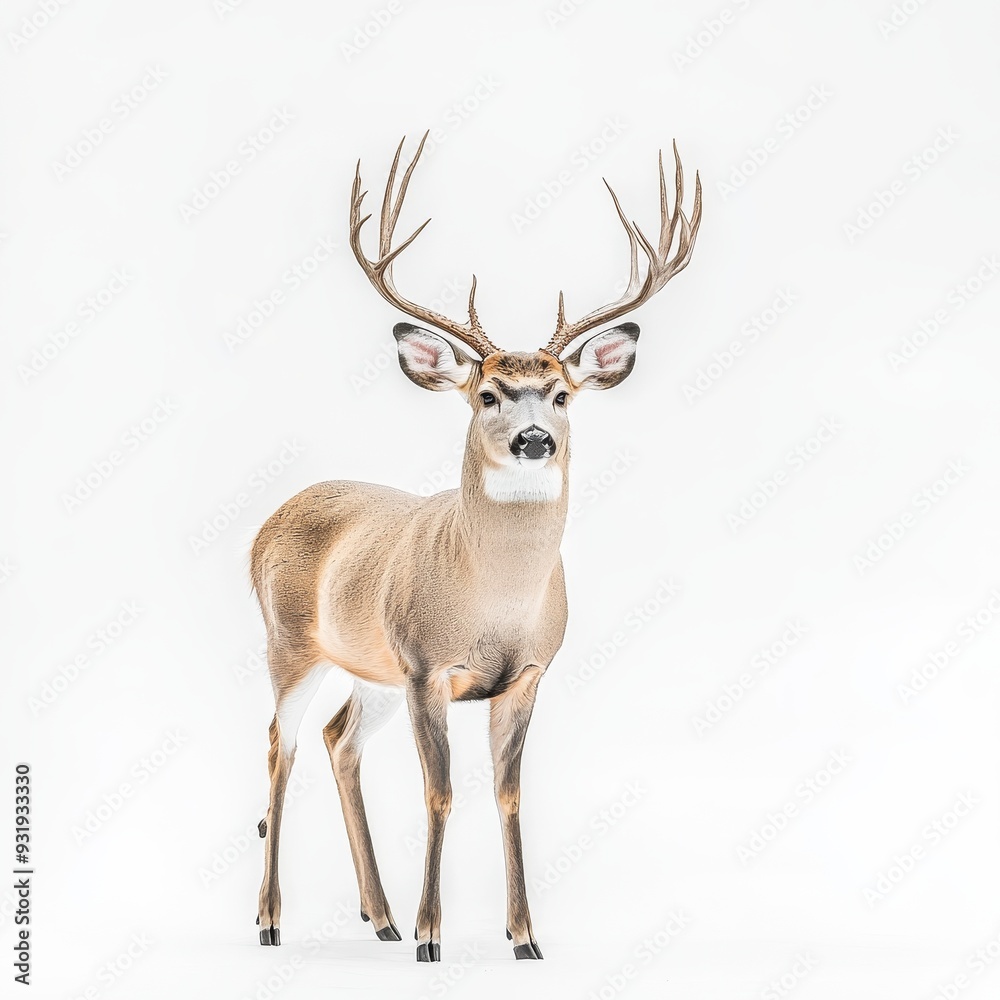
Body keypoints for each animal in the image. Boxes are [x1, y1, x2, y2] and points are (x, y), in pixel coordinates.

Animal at [251, 132, 701, 962]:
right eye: (487, 394)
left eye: (561, 393)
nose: (534, 439)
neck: (494, 600)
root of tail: (271, 519)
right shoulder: (428, 668)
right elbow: (440, 791)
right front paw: (434, 935)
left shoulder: (525, 675)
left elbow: (509, 793)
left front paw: (524, 937)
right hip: (290, 641)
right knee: (280, 743)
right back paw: (273, 920)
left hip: (370, 667)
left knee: (338, 740)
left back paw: (380, 917)